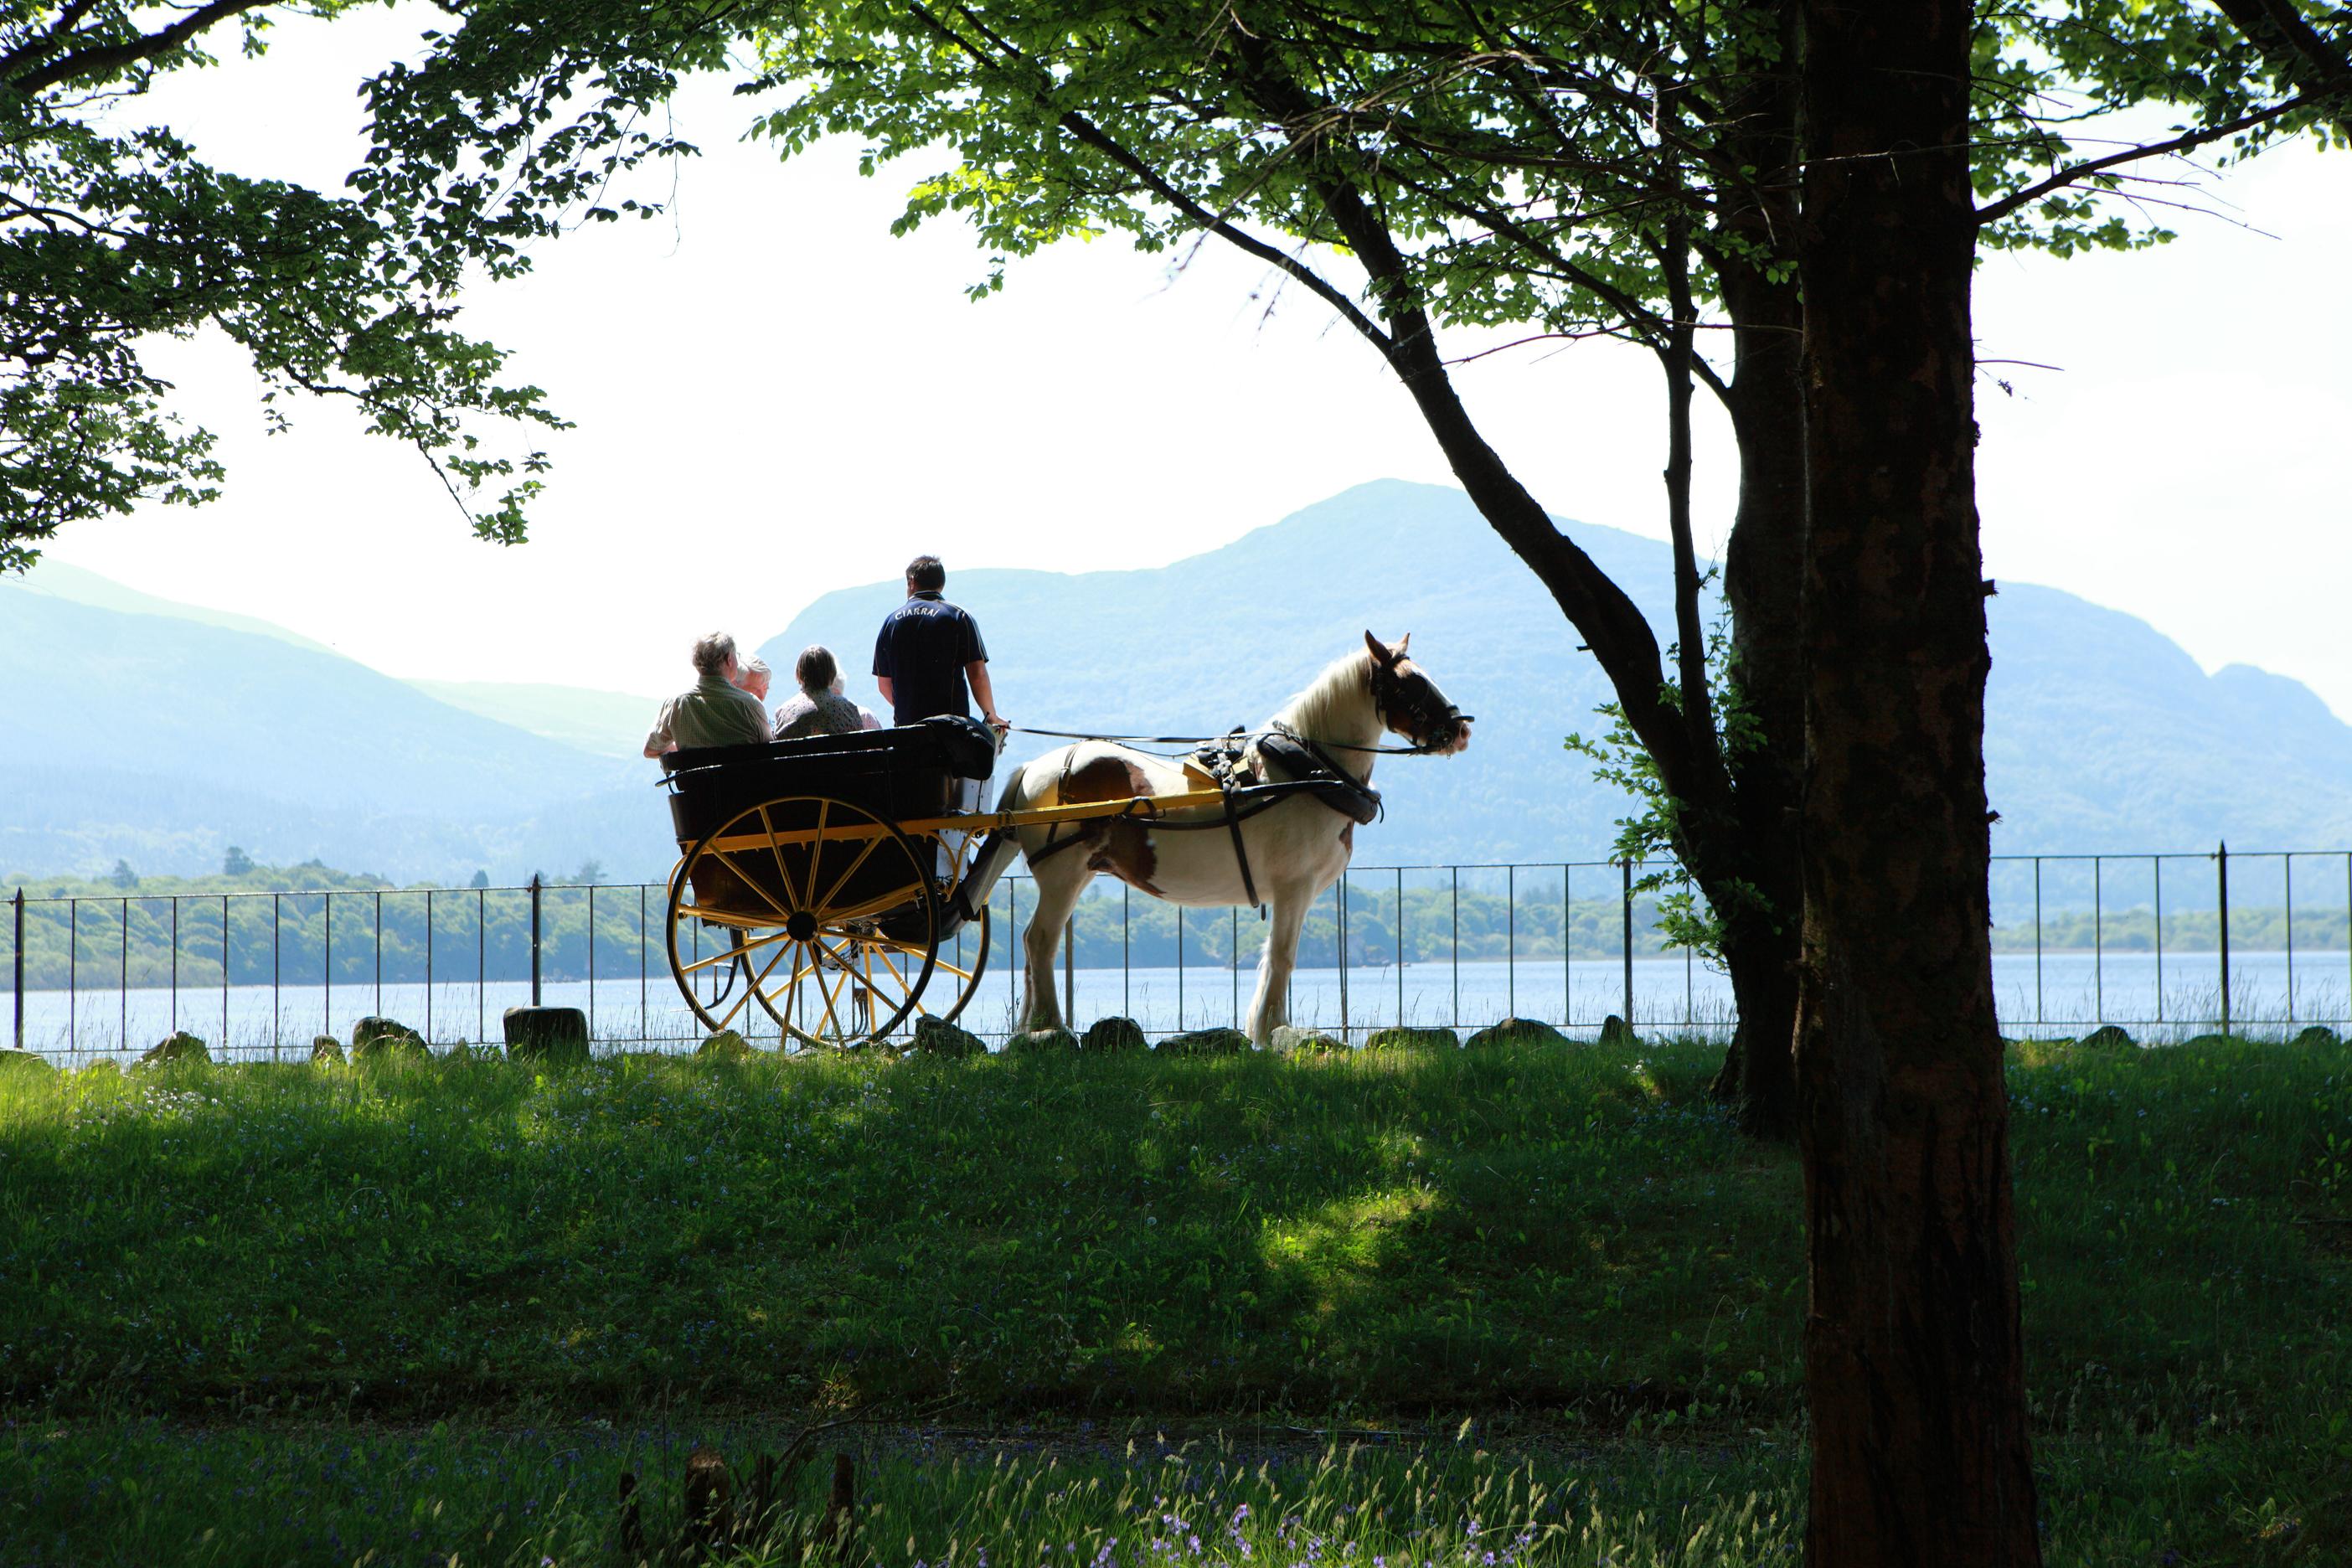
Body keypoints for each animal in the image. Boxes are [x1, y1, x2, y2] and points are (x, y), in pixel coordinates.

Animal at [955, 630, 1467, 1048]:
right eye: (1412, 685)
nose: (1461, 729)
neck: (1304, 771)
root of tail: (1034, 770)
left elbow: (1274, 958)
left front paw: (1267, 1027)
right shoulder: (1294, 887)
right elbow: (1283, 956)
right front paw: (1275, 1029)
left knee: (1034, 945)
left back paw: (1033, 1026)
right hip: (1064, 874)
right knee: (1040, 941)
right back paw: (1051, 1026)